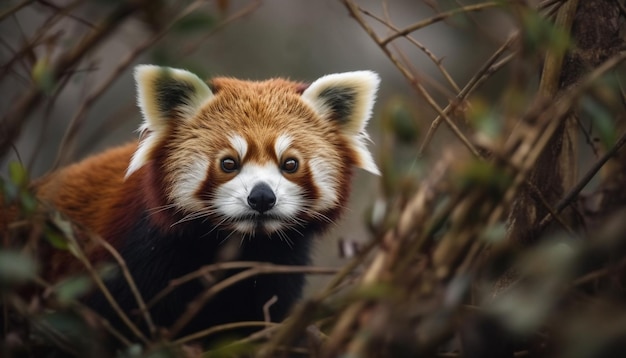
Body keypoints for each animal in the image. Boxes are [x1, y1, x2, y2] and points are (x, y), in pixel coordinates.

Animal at [35, 65, 380, 342]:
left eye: (290, 164)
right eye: (229, 163)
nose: (262, 196)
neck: (241, 246)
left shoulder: (279, 267)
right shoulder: (134, 260)